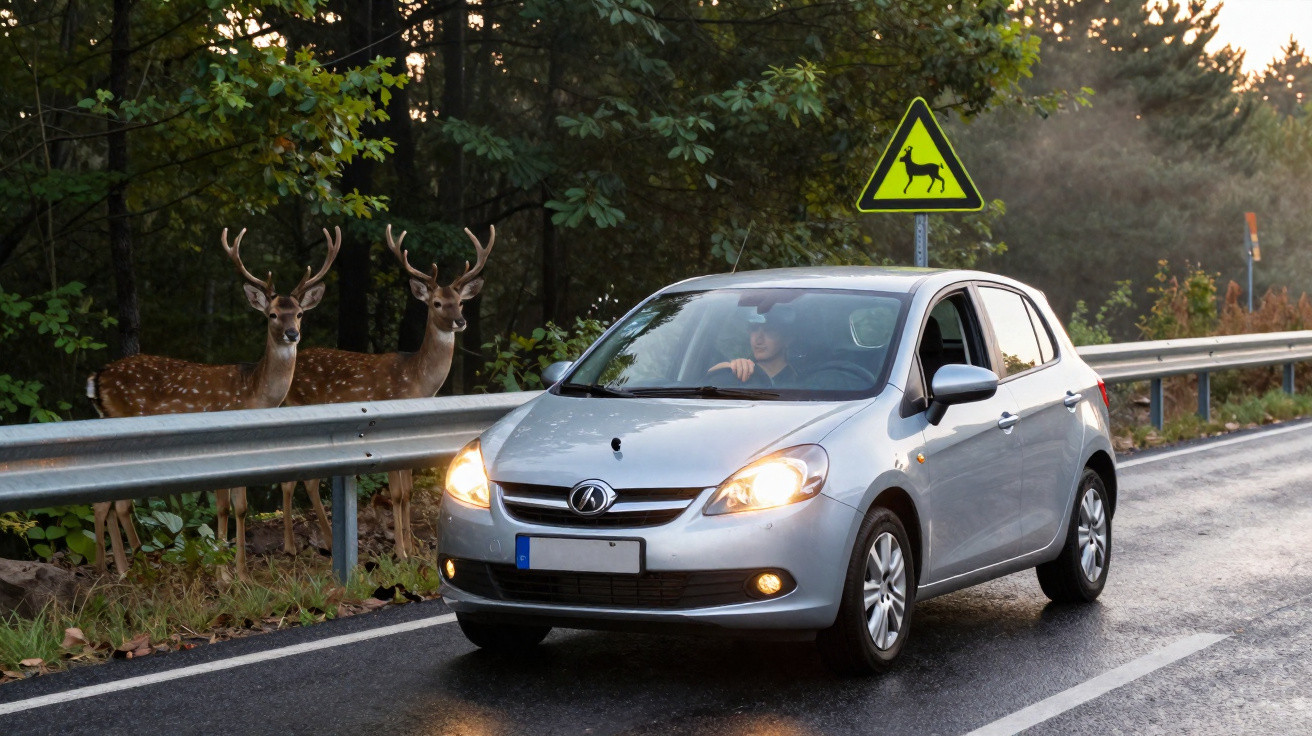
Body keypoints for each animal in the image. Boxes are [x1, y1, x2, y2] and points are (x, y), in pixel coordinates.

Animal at [87, 226, 340, 579]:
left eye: (300, 314)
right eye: (272, 314)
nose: (292, 333)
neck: (254, 393)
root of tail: (97, 378)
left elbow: (241, 507)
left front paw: (241, 573)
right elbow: (223, 507)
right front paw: (224, 574)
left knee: (104, 501)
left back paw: (111, 568)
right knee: (117, 502)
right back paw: (131, 570)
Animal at [279, 223, 493, 560]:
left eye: (460, 301)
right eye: (436, 303)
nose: (460, 321)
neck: (417, 381)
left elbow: (408, 492)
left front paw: (413, 546)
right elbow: (396, 493)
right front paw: (402, 551)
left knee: (305, 482)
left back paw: (323, 542)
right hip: (297, 409)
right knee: (295, 482)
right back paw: (293, 546)